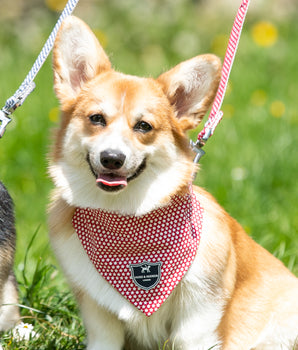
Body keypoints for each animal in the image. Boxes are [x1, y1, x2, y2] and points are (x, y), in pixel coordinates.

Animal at [49, 17, 298, 350]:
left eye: (144, 126)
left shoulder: (199, 312)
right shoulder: (98, 312)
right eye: (97, 118)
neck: (128, 220)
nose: (112, 158)